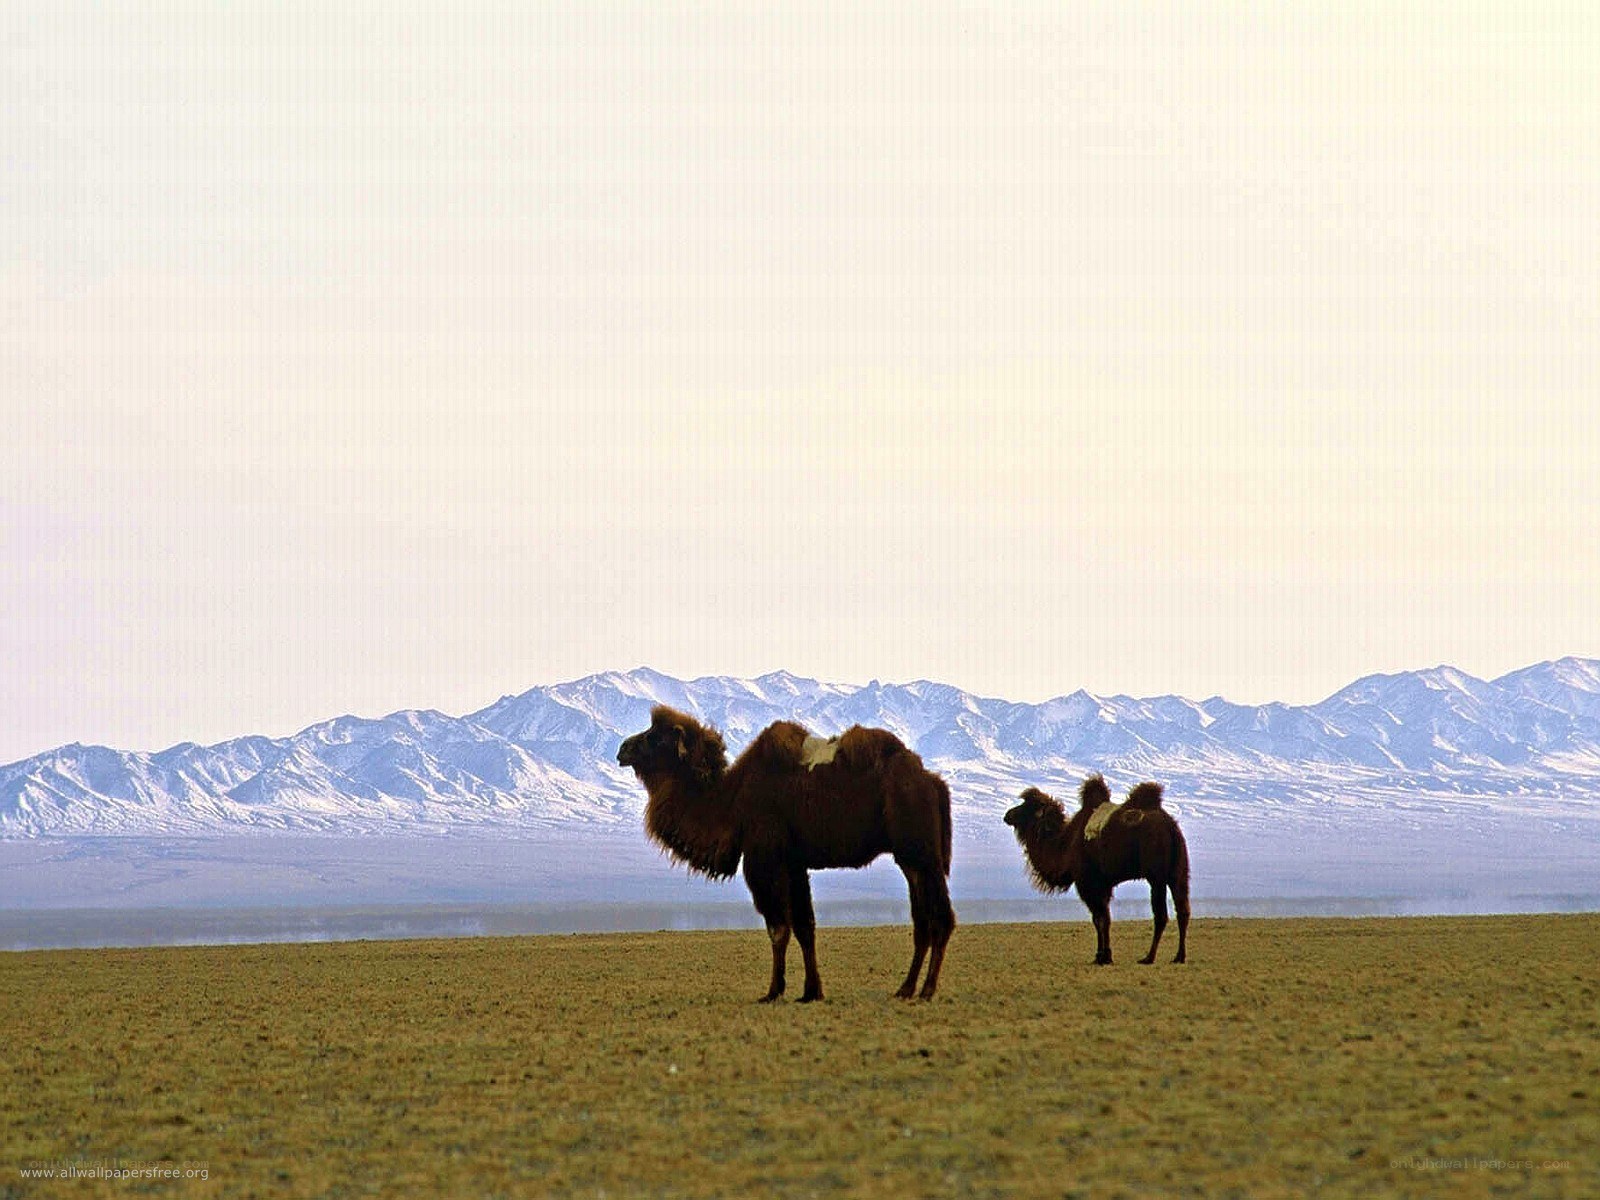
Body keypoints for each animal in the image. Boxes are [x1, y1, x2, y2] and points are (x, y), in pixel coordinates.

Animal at [617, 705, 955, 1001]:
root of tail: (933, 782)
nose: (623, 748)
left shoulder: (765, 858)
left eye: (654, 736)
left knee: (942, 917)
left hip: (921, 851)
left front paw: (772, 992)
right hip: (911, 857)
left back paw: (927, 990)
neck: (730, 802)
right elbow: (806, 926)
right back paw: (905, 989)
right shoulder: (793, 863)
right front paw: (811, 992)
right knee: (922, 920)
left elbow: (778, 928)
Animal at [1004, 775, 1189, 965]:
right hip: (1179, 872)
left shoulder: (1088, 882)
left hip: (1156, 874)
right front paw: (1102, 955)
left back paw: (1148, 957)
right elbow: (1104, 918)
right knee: (1183, 911)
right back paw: (1179, 956)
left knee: (1161, 915)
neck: (1066, 845)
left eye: (1027, 806)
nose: (1008, 815)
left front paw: (1103, 956)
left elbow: (1098, 919)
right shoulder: (1103, 883)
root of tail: (1170, 827)